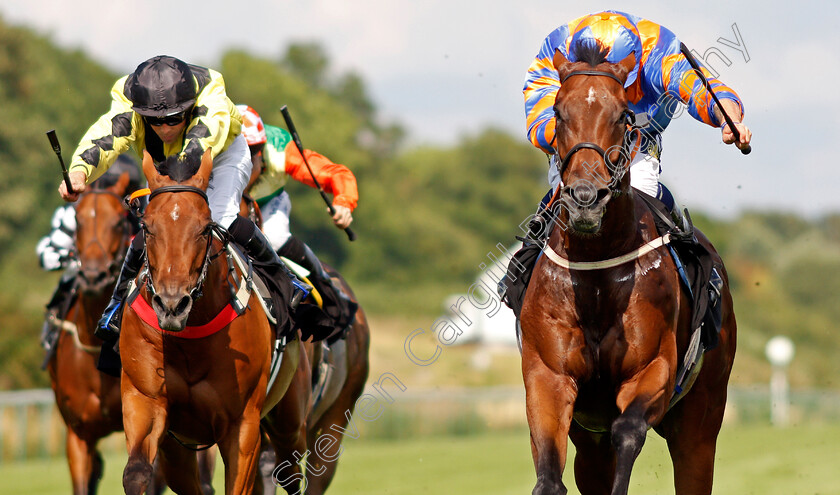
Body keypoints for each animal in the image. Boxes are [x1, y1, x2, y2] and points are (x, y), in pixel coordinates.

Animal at [520, 43, 740, 495]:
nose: (586, 198)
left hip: (701, 420)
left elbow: (629, 429)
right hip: (589, 437)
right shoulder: (547, 376)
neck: (593, 271)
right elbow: (549, 477)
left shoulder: (652, 368)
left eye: (622, 114)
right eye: (558, 112)